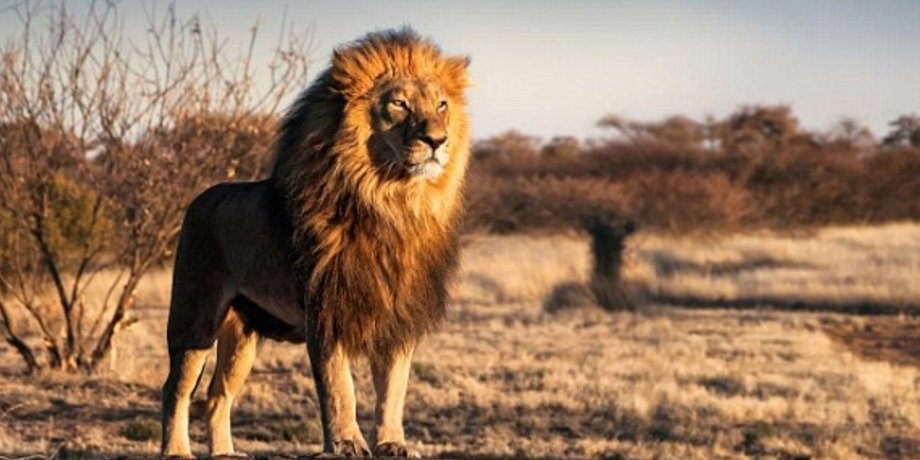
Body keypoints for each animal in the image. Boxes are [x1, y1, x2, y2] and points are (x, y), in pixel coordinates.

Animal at [161, 28, 470, 458]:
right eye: (399, 103)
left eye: (442, 104)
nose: (437, 140)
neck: (391, 204)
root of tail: (200, 197)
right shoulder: (326, 312)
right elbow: (340, 388)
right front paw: (346, 442)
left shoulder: (398, 316)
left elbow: (394, 389)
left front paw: (392, 443)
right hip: (195, 318)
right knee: (175, 389)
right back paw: (176, 450)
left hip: (242, 335)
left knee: (217, 395)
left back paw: (224, 452)